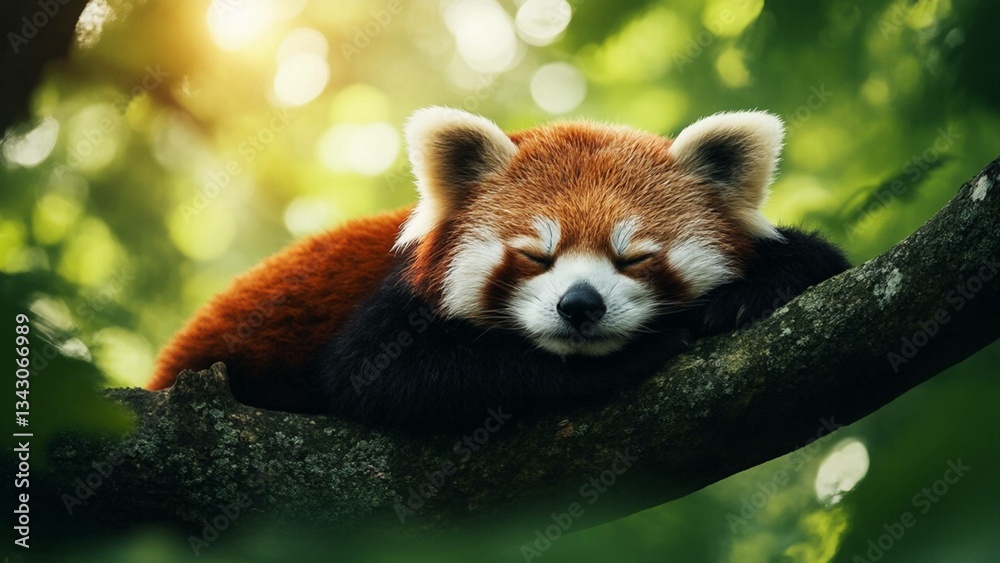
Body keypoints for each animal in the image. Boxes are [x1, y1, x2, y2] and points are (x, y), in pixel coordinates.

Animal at [148, 107, 849, 429]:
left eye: (634, 257)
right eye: (536, 254)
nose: (580, 305)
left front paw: (756, 286)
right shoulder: (392, 306)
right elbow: (382, 374)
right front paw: (636, 355)